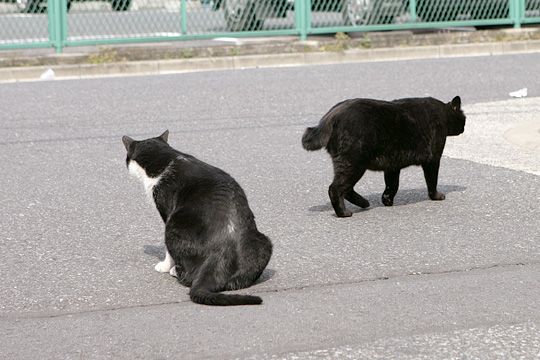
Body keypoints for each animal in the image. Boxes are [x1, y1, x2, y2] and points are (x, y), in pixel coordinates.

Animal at [124, 131, 272, 306]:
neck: (166, 159)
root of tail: (220, 253)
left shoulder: (166, 211)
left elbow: (168, 252)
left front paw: (165, 266)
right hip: (264, 242)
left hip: (173, 226)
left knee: (189, 278)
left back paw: (175, 271)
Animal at [302, 95, 466, 218]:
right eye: (464, 118)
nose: (464, 127)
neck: (443, 114)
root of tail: (331, 116)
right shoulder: (433, 160)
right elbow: (432, 181)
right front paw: (436, 196)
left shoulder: (392, 165)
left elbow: (392, 184)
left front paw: (387, 200)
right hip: (353, 164)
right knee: (335, 189)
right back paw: (344, 213)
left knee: (346, 189)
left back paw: (364, 203)